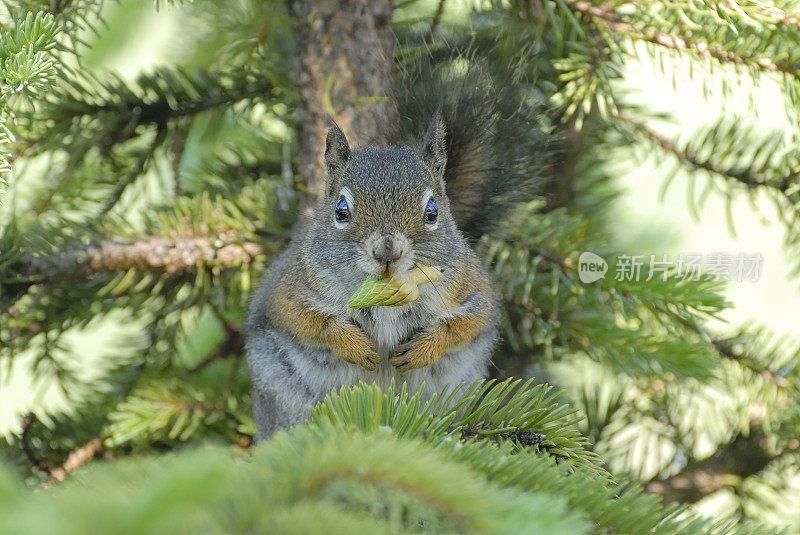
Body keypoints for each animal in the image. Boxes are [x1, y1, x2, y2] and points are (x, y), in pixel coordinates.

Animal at [245, 53, 544, 440]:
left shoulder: (472, 289)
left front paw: (425, 347)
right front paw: (351, 342)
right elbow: (303, 318)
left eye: (432, 211)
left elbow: (468, 323)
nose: (387, 251)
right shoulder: (292, 286)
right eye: (341, 211)